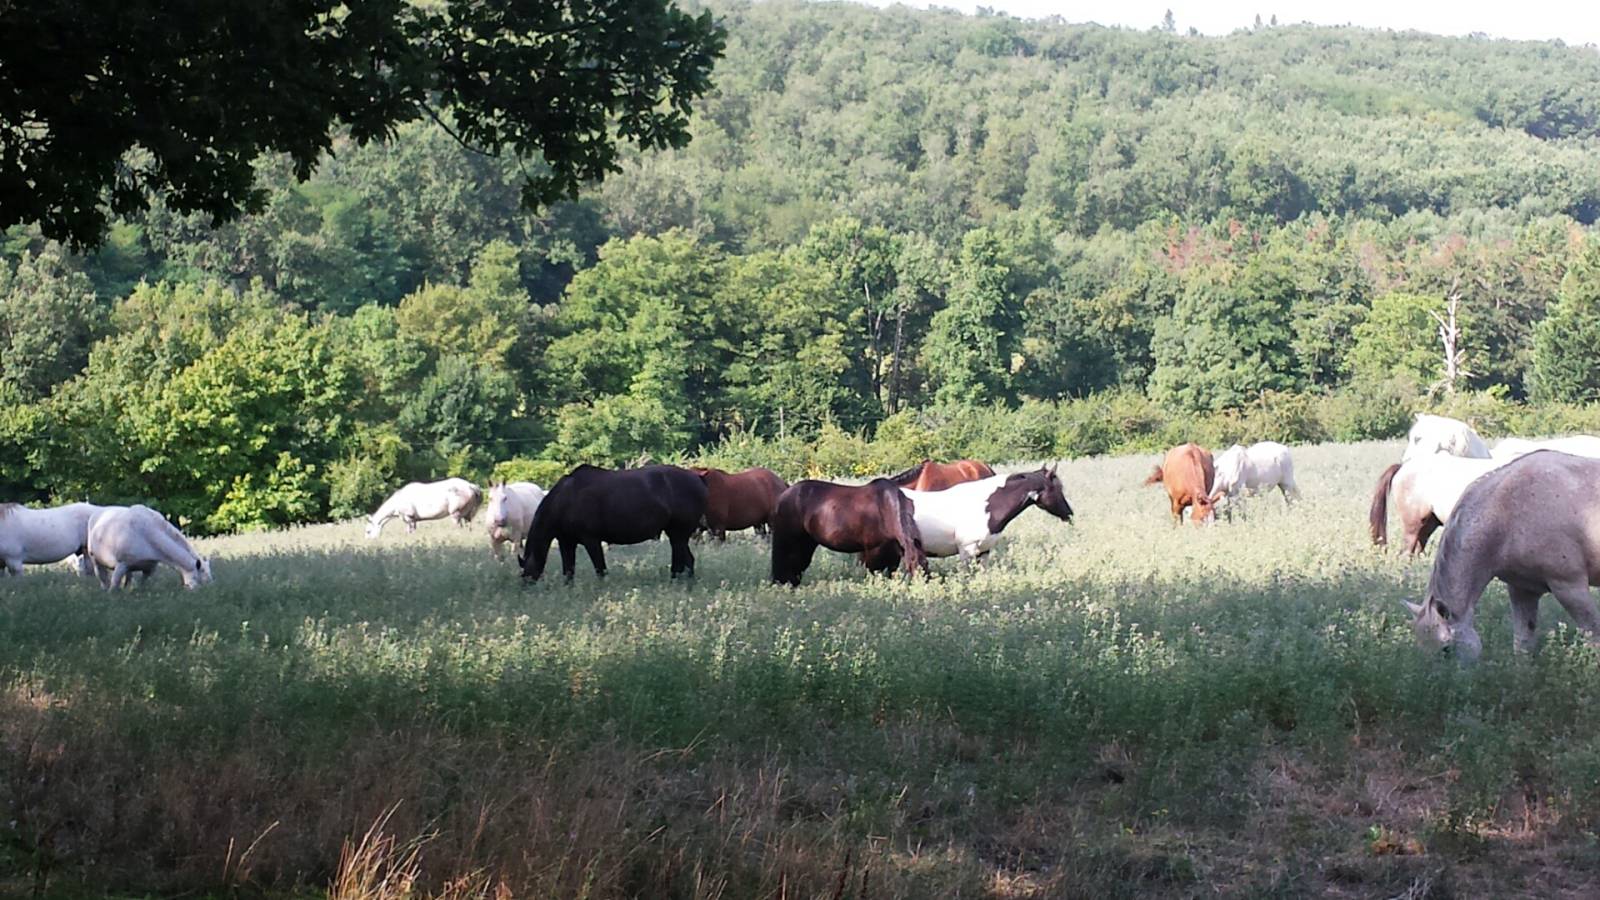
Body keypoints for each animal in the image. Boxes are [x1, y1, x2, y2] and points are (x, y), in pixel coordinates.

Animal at [520, 464, 708, 582]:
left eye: (526, 572)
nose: (526, 588)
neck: (565, 499)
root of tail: (698, 479)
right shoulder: (566, 543)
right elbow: (569, 572)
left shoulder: (591, 540)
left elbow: (600, 569)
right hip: (677, 535)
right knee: (686, 561)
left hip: (678, 535)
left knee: (682, 562)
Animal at [769, 478, 927, 586]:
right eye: (912, 566)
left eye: (926, 566)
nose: (921, 589)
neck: (887, 508)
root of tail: (783, 496)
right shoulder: (874, 551)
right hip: (788, 539)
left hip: (806, 543)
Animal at [1404, 451, 1600, 661]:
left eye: (1446, 649)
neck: (1507, 510)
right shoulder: (1521, 589)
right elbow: (1522, 643)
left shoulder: (1570, 586)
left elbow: (1593, 634)